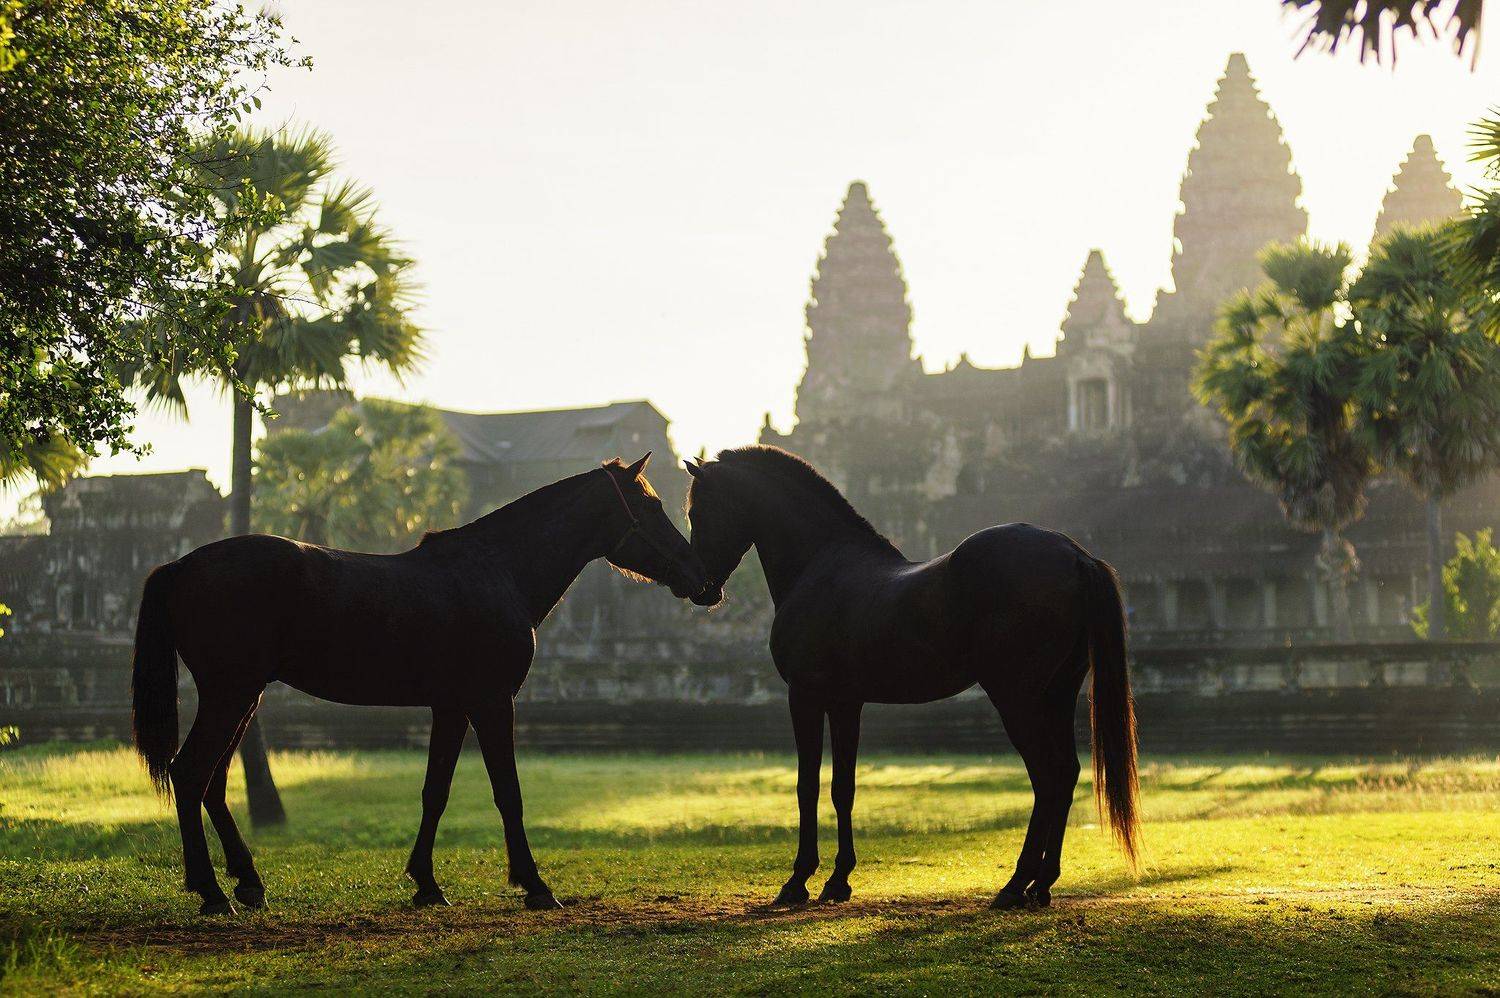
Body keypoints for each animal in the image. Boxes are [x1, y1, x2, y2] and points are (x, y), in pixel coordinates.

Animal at [131, 453, 712, 916]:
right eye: (652, 506)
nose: (703, 578)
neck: (496, 570)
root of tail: (180, 565)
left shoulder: (451, 707)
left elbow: (436, 791)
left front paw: (427, 884)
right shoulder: (492, 703)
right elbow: (508, 793)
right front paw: (535, 886)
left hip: (242, 696)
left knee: (212, 782)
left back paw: (248, 883)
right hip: (231, 694)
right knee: (190, 774)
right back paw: (212, 892)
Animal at [683, 445, 1138, 910]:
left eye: (699, 510)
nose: (700, 588)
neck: (821, 566)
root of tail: (1074, 554)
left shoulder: (804, 696)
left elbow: (806, 785)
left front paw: (797, 881)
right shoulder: (845, 702)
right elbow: (842, 787)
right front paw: (838, 880)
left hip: (1017, 699)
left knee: (1047, 777)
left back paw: (1016, 885)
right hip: (1058, 694)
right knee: (1065, 774)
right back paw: (1041, 885)